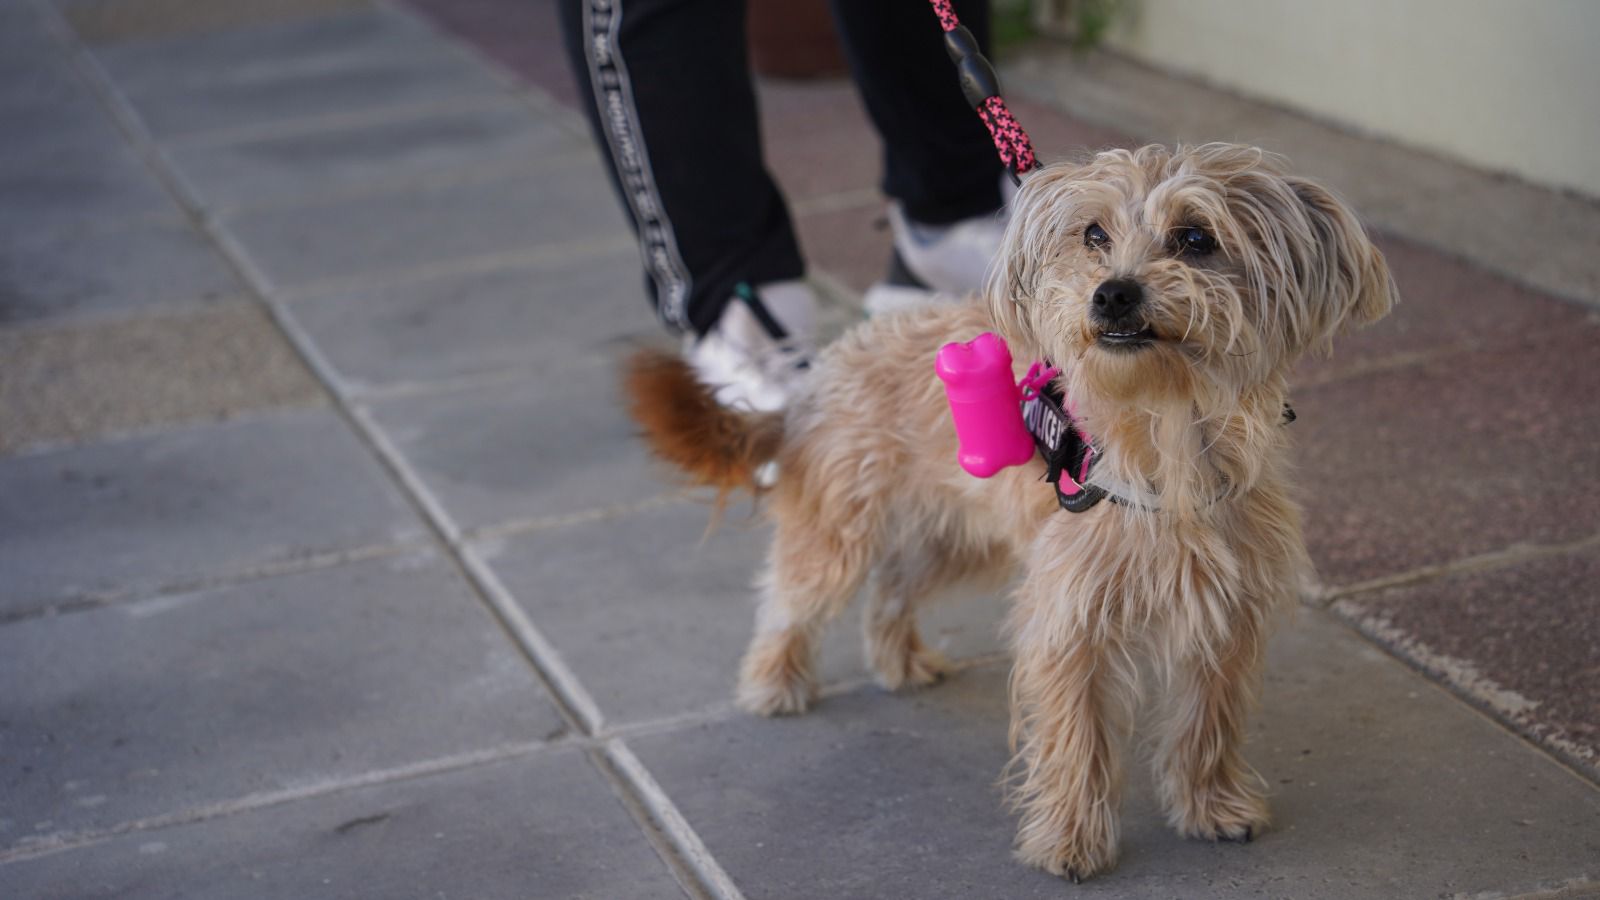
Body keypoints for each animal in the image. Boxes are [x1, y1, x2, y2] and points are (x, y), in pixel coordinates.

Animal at [620, 141, 1388, 877]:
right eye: (1094, 234)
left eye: (1196, 238)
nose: (1112, 293)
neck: (1166, 441)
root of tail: (824, 370)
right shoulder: (1069, 623)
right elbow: (1077, 738)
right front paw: (1071, 842)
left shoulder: (1223, 619)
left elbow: (1208, 723)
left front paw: (1211, 806)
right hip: (842, 531)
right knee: (792, 598)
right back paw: (773, 681)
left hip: (957, 539)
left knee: (891, 589)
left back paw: (898, 661)